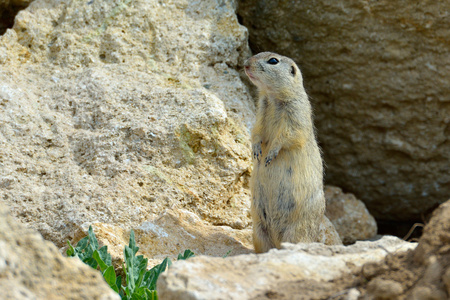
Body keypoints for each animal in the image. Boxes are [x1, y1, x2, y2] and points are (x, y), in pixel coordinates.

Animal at [244, 52, 326, 253]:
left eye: (273, 60)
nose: (245, 64)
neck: (272, 97)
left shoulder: (296, 115)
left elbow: (287, 136)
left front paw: (269, 155)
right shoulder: (260, 113)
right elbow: (256, 132)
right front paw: (256, 151)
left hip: (295, 232)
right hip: (258, 230)